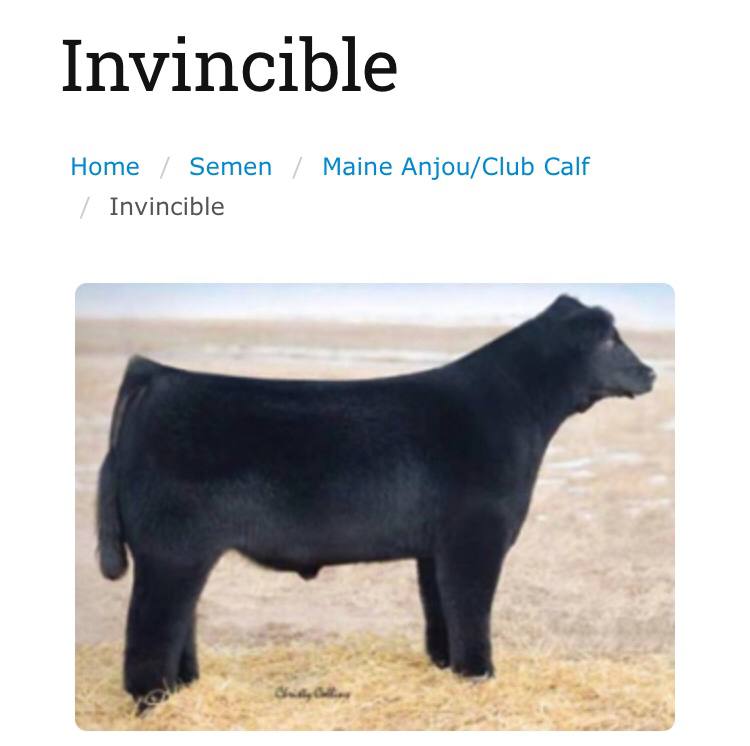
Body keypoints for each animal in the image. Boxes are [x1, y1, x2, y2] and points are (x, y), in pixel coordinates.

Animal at [96, 295, 655, 709]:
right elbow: (472, 608)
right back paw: (153, 702)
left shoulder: (435, 547)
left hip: (183, 555)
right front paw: (480, 674)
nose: (651, 372)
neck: (516, 410)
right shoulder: (477, 536)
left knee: (179, 623)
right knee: (148, 632)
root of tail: (157, 375)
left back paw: (183, 689)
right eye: (610, 339)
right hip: (171, 551)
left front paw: (447, 667)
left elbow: (442, 610)